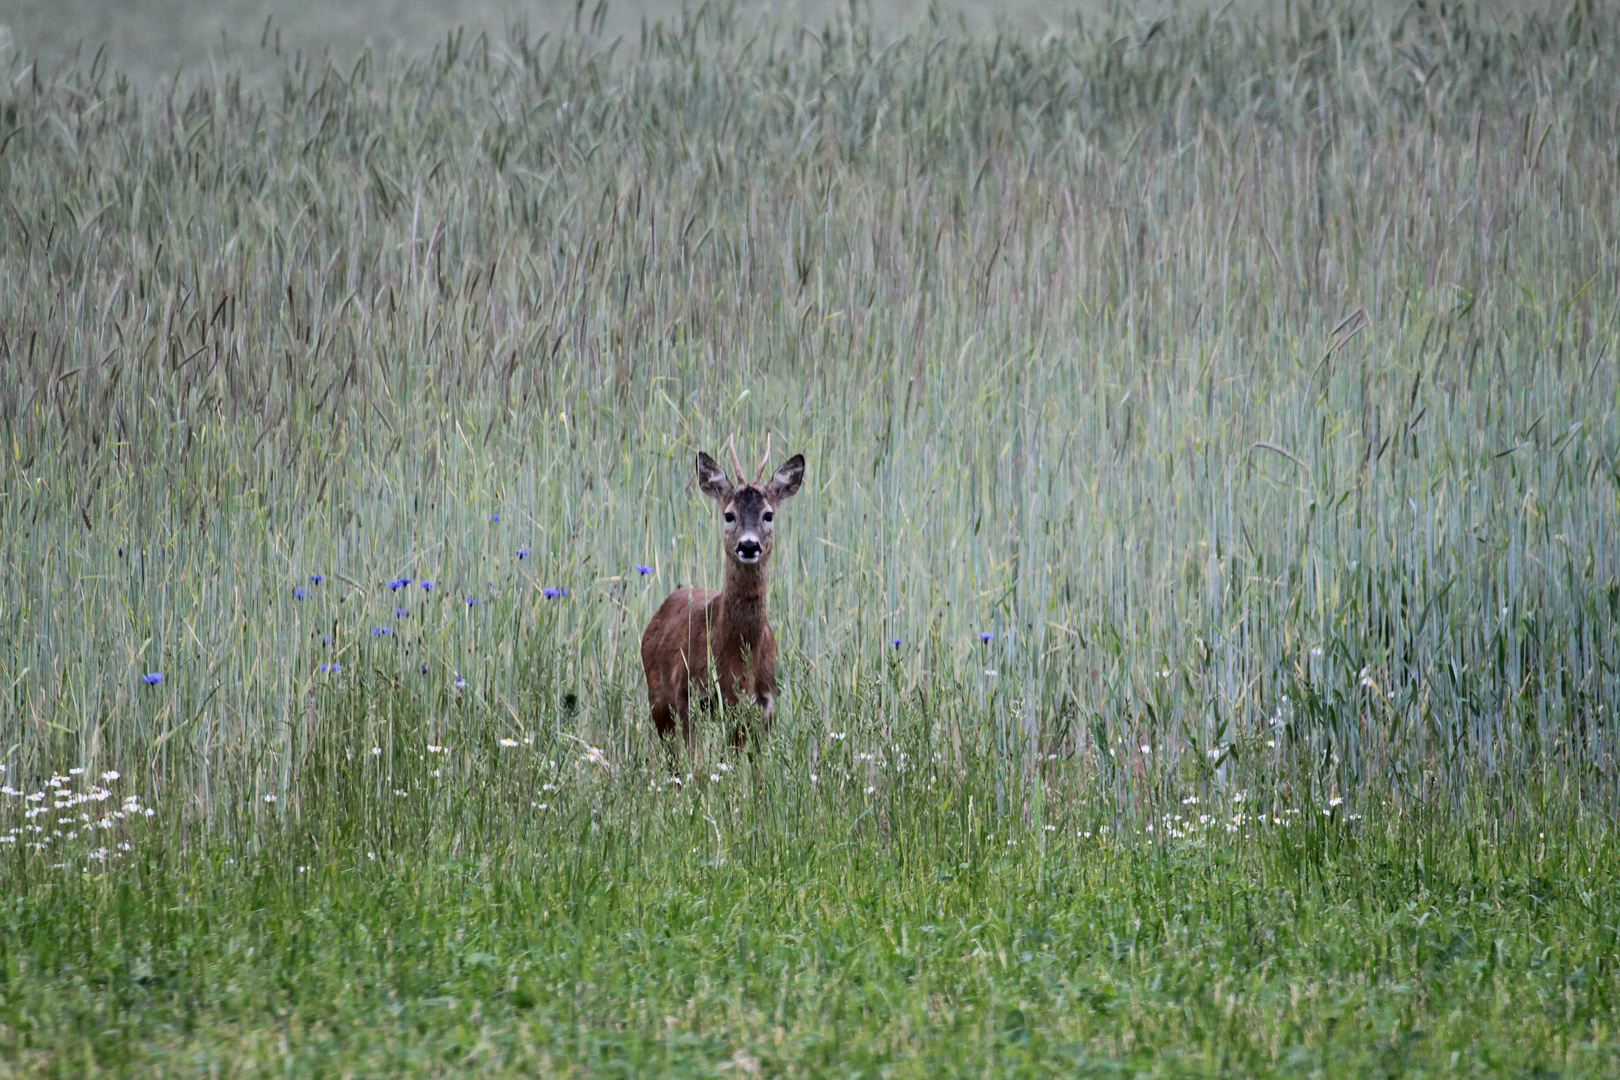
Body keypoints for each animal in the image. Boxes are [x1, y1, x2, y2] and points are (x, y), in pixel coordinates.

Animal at [638, 440, 803, 761]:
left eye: (768, 514)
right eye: (729, 514)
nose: (749, 545)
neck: (737, 664)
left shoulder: (763, 706)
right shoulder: (689, 696)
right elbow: (698, 765)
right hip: (659, 699)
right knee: (673, 758)